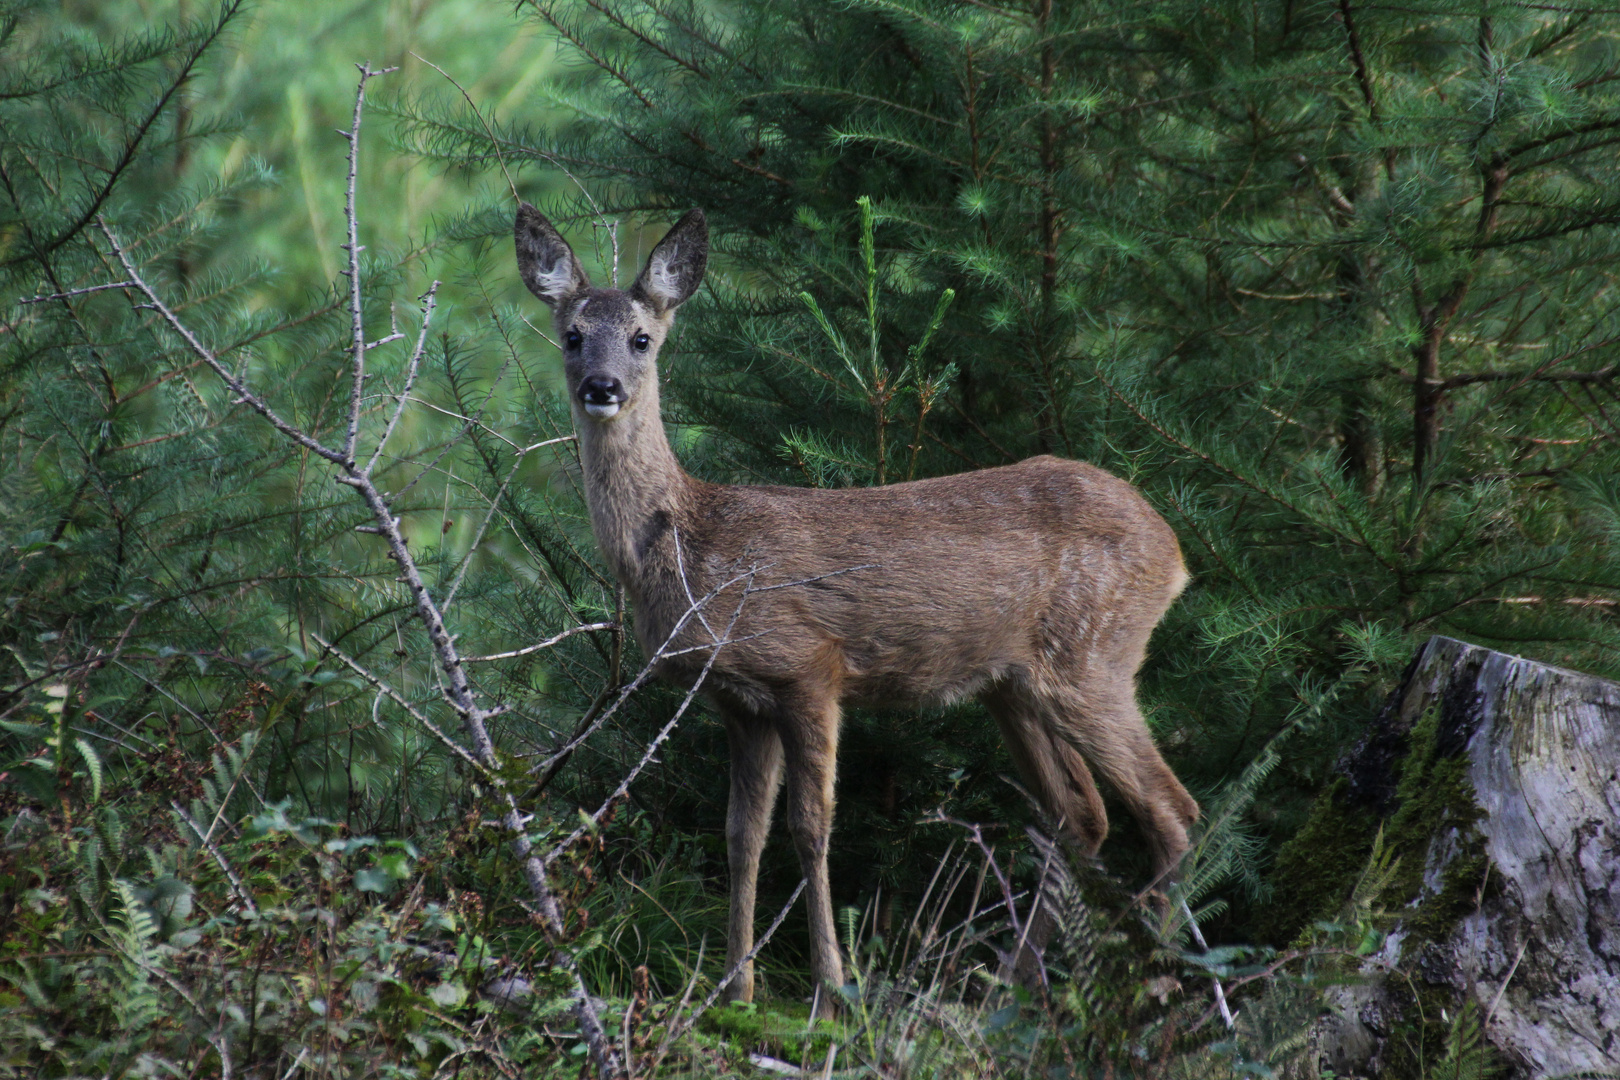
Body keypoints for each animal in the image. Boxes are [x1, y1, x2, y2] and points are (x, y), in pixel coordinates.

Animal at [511, 204, 1198, 1016]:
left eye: (643, 337)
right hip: (1013, 684)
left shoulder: (808, 666)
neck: (689, 546)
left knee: (1171, 811)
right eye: (572, 334)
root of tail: (1173, 550)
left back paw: (1152, 986)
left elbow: (810, 829)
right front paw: (735, 989)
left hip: (1094, 656)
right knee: (1080, 814)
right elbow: (741, 834)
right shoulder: (738, 701)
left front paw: (830, 992)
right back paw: (1011, 990)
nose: (603, 385)